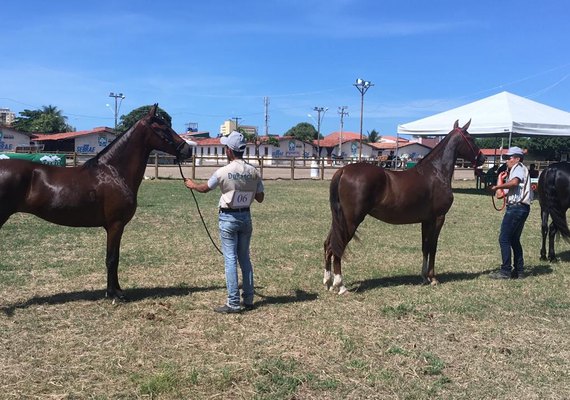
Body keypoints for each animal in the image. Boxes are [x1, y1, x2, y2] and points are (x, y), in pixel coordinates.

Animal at [0, 105, 193, 300]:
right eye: (163, 128)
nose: (188, 150)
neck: (114, 172)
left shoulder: (115, 226)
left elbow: (115, 257)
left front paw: (117, 291)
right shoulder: (115, 225)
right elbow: (112, 259)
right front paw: (113, 294)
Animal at [324, 120, 484, 292]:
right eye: (471, 138)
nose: (482, 158)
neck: (436, 172)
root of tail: (343, 171)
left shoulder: (426, 220)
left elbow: (425, 247)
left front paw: (424, 277)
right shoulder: (439, 218)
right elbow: (433, 247)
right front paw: (433, 278)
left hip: (340, 219)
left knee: (329, 244)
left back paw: (328, 282)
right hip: (351, 220)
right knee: (337, 246)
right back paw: (340, 285)